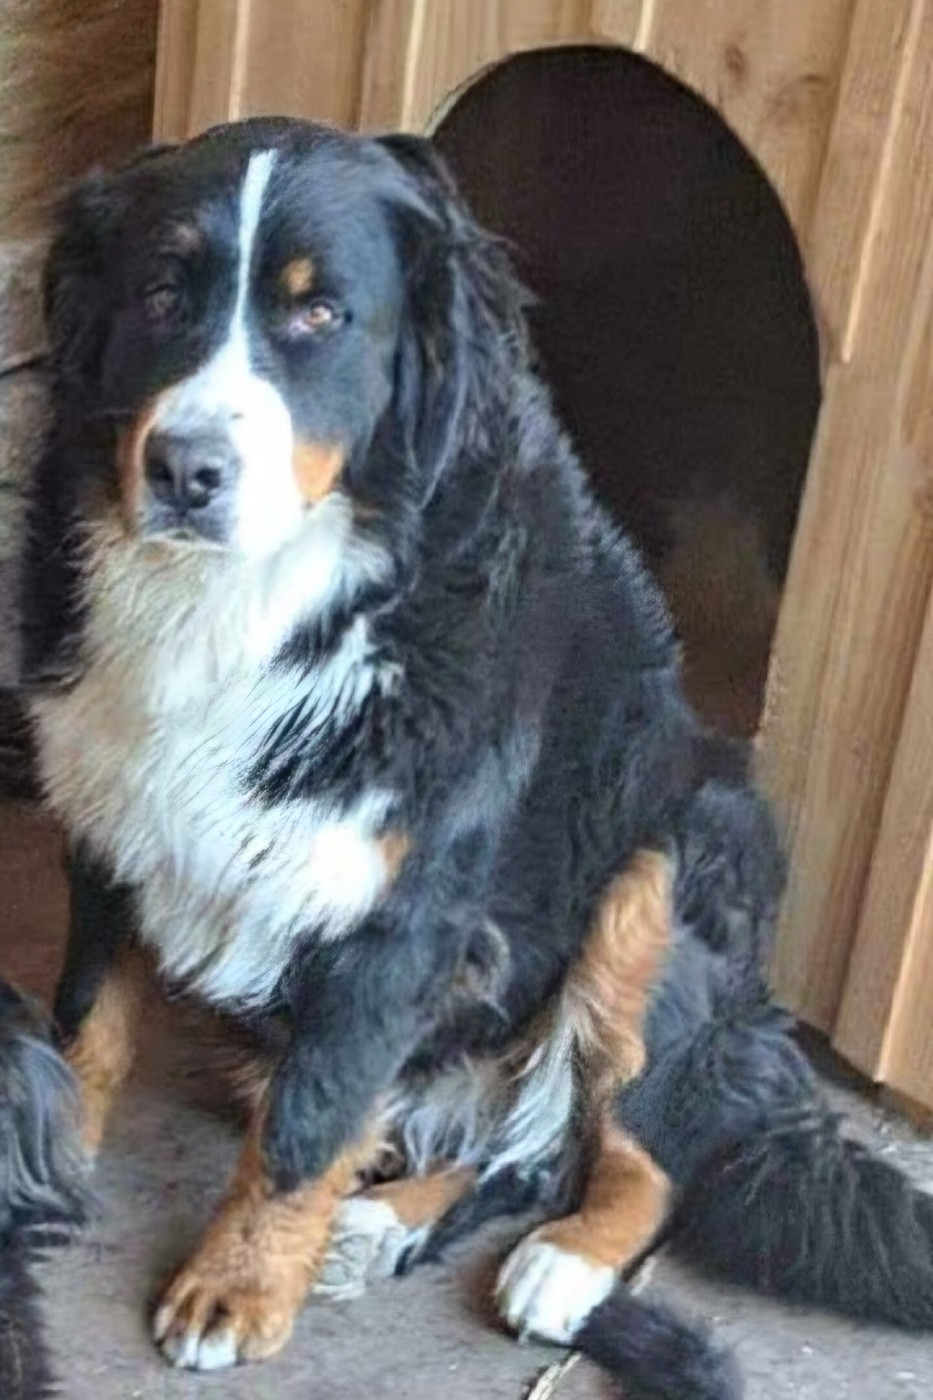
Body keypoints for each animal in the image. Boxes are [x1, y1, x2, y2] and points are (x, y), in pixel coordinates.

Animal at [17, 118, 933, 1397]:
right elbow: (91, 1018)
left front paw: (237, 1284)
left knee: (626, 1143)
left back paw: (560, 1262)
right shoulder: (108, 814)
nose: (186, 468)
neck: (246, 601)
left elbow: (306, 1119)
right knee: (508, 1141)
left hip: (675, 851)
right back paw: (385, 1217)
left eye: (320, 313)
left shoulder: (400, 907)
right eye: (160, 291)